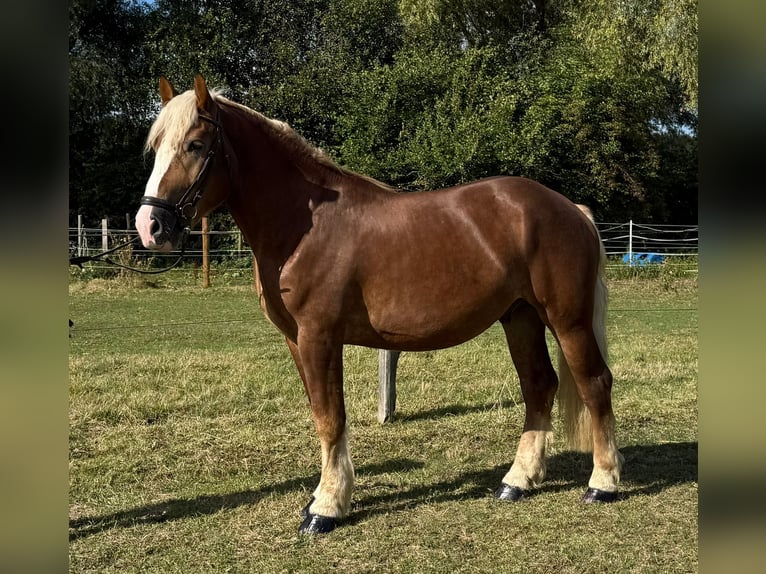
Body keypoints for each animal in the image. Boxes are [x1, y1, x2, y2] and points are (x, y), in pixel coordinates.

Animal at [135, 75, 623, 534]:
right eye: (156, 147)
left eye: (196, 145)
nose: (149, 225)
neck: (304, 226)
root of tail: (571, 209)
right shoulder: (296, 340)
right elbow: (321, 413)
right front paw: (325, 498)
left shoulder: (320, 337)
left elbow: (330, 417)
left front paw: (327, 507)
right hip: (520, 318)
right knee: (539, 385)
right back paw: (517, 481)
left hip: (567, 320)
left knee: (595, 383)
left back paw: (602, 484)